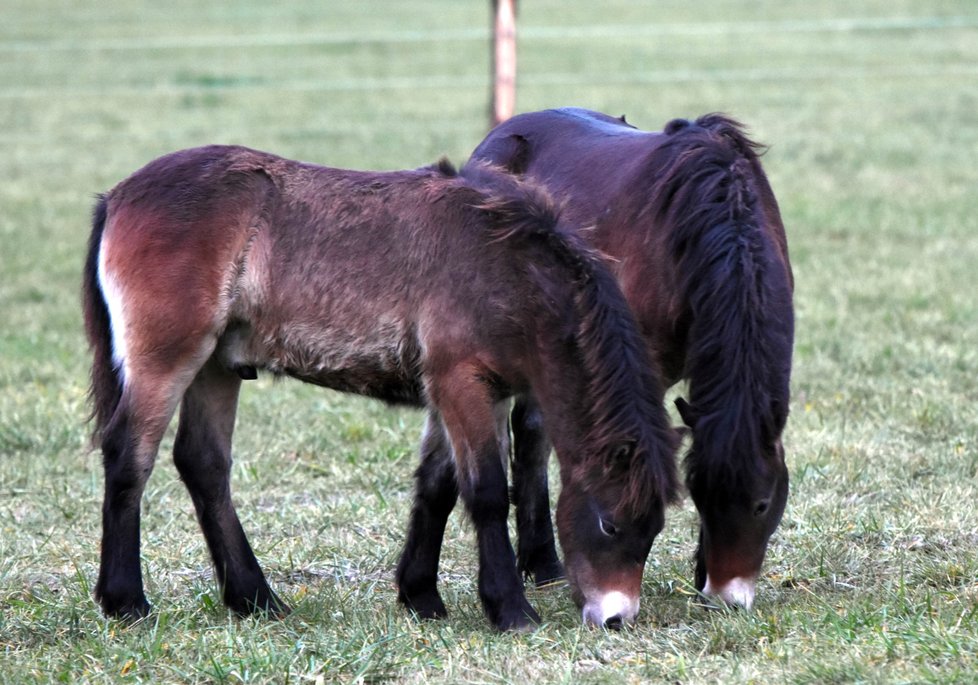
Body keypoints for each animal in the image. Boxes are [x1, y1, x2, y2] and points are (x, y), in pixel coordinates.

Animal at [82, 146, 680, 632]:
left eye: (652, 529)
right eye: (609, 523)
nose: (616, 618)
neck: (507, 269)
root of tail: (117, 196)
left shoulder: (475, 391)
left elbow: (437, 486)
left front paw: (421, 596)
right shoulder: (460, 382)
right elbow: (486, 491)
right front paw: (510, 610)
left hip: (216, 367)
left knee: (204, 464)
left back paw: (255, 600)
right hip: (167, 360)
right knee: (130, 457)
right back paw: (126, 601)